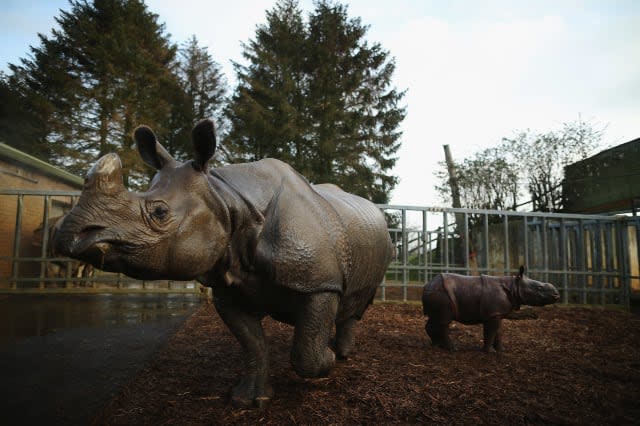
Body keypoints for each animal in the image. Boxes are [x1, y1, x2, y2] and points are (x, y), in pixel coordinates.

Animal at [422, 266, 556, 352]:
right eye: (539, 288)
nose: (556, 294)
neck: (513, 286)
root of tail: (427, 285)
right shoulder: (493, 313)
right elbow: (491, 331)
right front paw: (490, 352)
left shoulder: (496, 313)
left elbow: (498, 331)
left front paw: (501, 350)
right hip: (442, 293)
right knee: (444, 320)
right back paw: (452, 349)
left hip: (437, 292)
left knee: (435, 318)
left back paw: (436, 345)